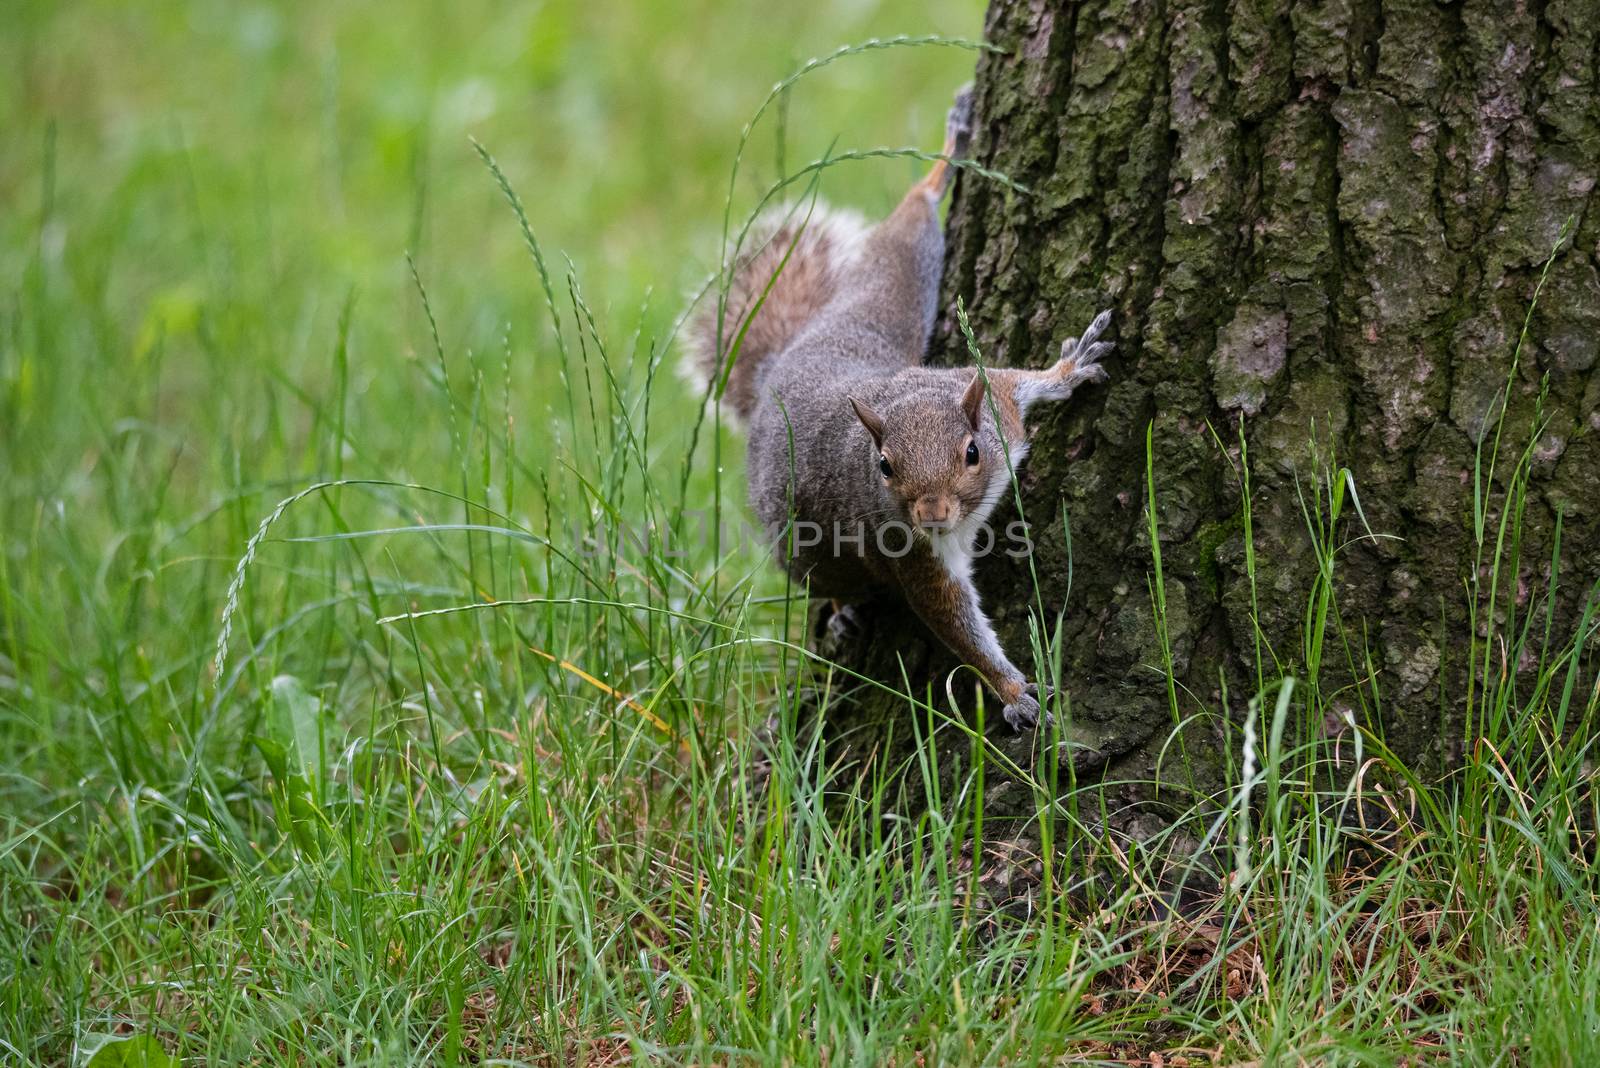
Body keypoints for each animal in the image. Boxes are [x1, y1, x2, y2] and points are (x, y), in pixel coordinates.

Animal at [688, 87, 1113, 729]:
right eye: (885, 466)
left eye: (972, 452)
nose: (932, 513)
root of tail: (777, 372)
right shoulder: (905, 549)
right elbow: (950, 619)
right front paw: (1013, 693)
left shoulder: (990, 400)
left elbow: (1020, 382)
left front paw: (1070, 370)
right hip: (804, 541)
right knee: (824, 577)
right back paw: (842, 611)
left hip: (882, 305)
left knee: (904, 239)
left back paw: (948, 156)